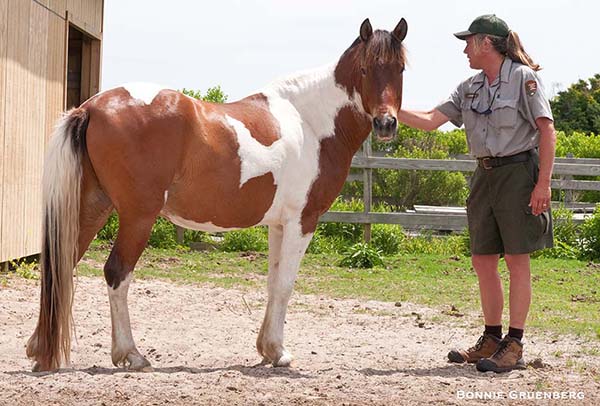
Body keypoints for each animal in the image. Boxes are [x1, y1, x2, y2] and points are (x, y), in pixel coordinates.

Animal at [24, 17, 408, 372]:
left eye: (400, 68)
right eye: (364, 68)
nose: (386, 124)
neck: (310, 122)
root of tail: (89, 107)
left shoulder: (279, 224)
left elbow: (272, 283)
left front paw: (267, 349)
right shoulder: (303, 221)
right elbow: (285, 285)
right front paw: (279, 353)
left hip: (91, 208)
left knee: (60, 267)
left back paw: (39, 349)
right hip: (137, 218)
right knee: (116, 274)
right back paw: (130, 354)